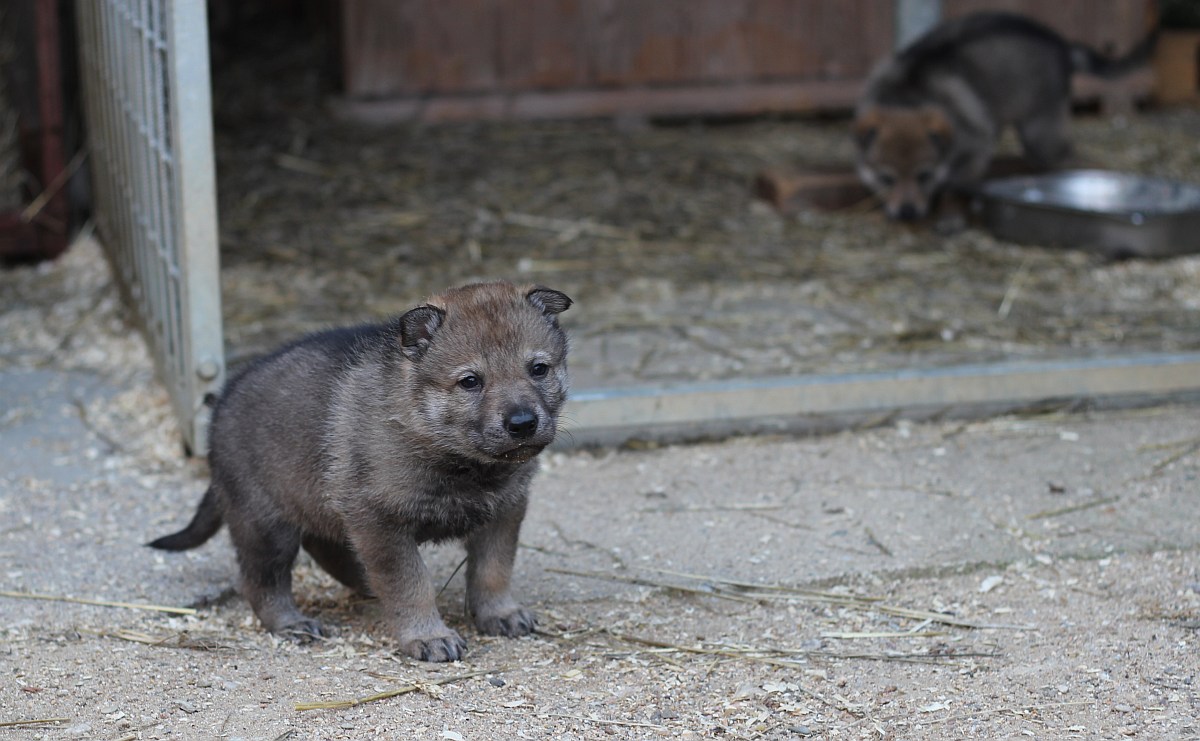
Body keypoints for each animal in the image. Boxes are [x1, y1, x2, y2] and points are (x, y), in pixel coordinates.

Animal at [150, 281, 571, 657]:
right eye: (470, 381)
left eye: (538, 369)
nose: (522, 423)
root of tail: (219, 409)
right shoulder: (380, 521)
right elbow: (411, 583)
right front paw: (428, 636)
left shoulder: (505, 511)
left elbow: (493, 570)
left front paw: (501, 614)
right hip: (265, 524)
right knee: (261, 580)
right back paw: (291, 622)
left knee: (324, 544)